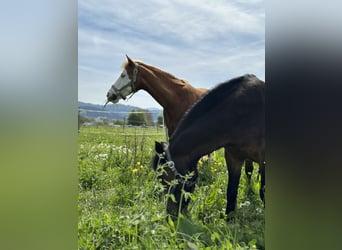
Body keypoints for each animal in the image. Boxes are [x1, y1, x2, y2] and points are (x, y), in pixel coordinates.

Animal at [154, 73, 266, 217]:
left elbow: (263, 192)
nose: (171, 214)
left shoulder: (264, 160)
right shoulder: (233, 157)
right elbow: (231, 192)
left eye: (164, 178)